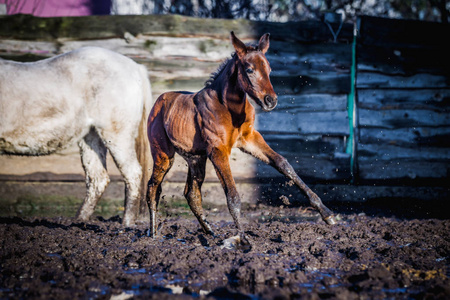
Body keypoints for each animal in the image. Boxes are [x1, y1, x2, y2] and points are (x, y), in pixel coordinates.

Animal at [0, 46, 153, 225]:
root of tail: (136, 68)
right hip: (91, 136)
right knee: (97, 179)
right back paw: (79, 221)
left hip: (117, 134)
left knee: (132, 174)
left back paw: (126, 224)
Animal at [146, 31, 336, 241]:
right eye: (250, 69)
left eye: (269, 69)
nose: (271, 101)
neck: (230, 109)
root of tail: (158, 101)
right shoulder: (218, 150)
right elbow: (232, 194)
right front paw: (243, 238)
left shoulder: (250, 139)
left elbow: (284, 164)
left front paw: (327, 214)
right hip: (163, 155)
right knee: (153, 188)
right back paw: (153, 234)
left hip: (196, 159)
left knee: (191, 194)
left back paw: (211, 233)